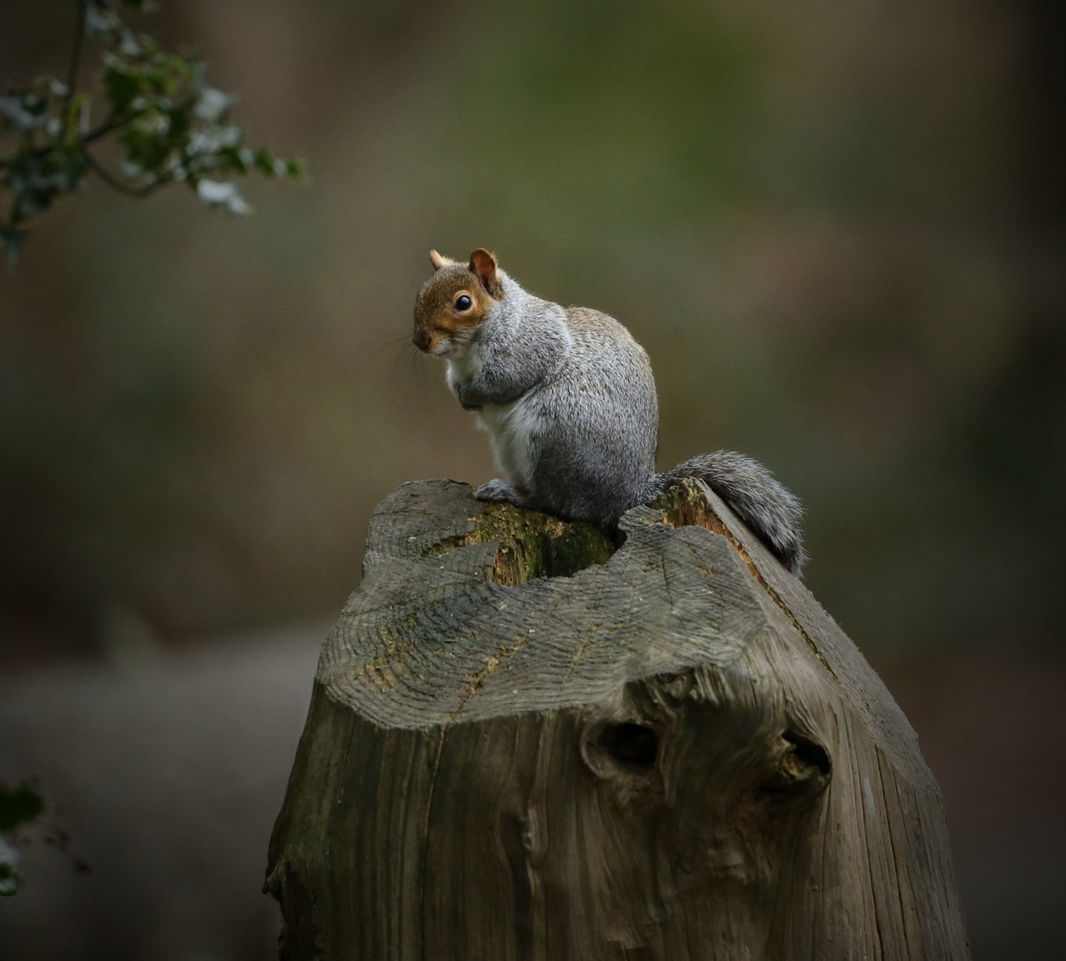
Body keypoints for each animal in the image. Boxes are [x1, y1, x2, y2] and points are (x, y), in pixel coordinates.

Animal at [411, 252, 801, 575]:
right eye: (420, 294)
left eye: (463, 302)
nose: (420, 340)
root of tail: (631, 492)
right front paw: (462, 395)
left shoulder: (528, 350)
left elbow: (506, 381)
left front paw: (473, 394)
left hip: (554, 435)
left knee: (559, 504)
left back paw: (513, 493)